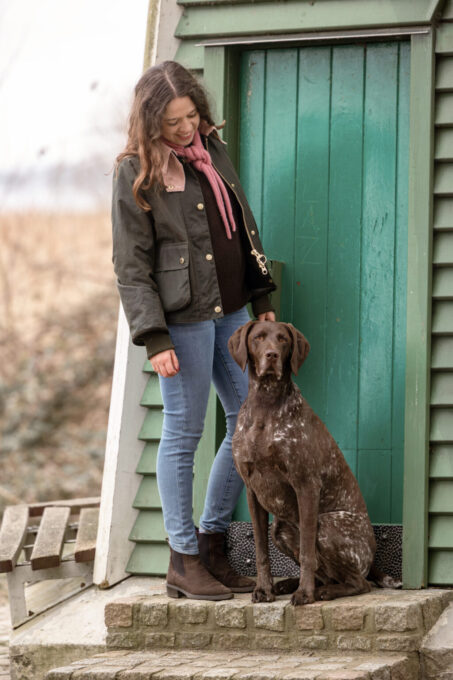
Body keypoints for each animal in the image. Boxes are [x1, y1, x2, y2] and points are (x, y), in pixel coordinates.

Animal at [228, 320, 399, 606]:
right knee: (327, 573)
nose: (271, 355)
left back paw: (321, 591)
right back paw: (288, 584)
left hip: (327, 525)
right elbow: (261, 551)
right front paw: (265, 589)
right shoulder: (252, 491)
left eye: (283, 339)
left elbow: (308, 552)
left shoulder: (306, 485)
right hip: (280, 529)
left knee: (359, 583)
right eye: (258, 338)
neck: (266, 404)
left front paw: (305, 593)